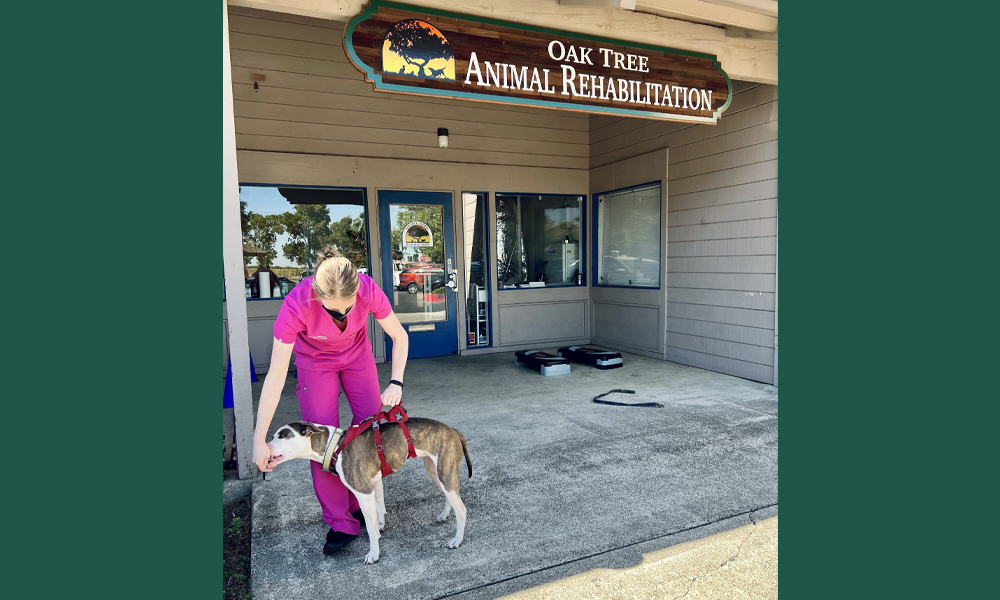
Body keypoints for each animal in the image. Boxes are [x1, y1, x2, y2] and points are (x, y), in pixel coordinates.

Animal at [264, 418, 470, 564]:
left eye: (281, 435)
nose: (265, 448)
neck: (333, 445)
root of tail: (453, 430)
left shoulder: (363, 492)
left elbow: (370, 529)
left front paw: (374, 554)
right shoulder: (375, 484)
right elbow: (379, 509)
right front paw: (380, 527)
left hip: (445, 471)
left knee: (461, 509)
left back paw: (457, 540)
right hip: (436, 472)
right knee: (449, 496)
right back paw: (444, 514)